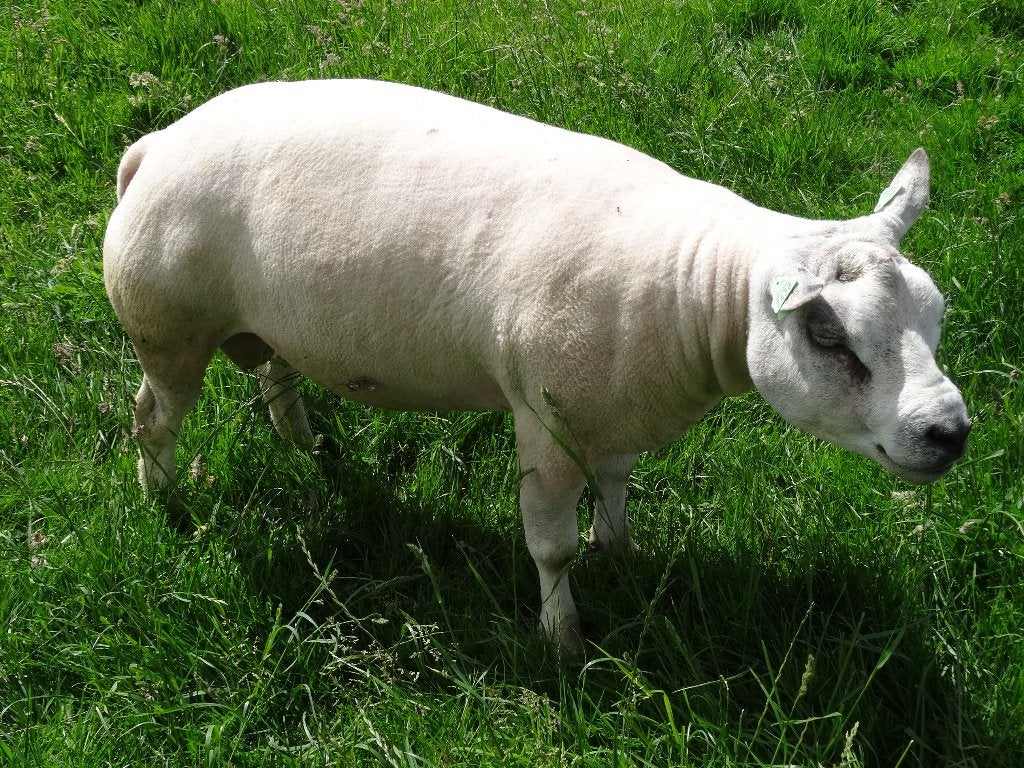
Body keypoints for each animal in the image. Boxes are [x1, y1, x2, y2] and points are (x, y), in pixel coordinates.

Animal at [103, 79, 970, 651]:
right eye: (827, 334)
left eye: (936, 314)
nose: (949, 433)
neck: (695, 292)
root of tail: (153, 148)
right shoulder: (546, 420)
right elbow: (550, 547)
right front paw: (563, 638)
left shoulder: (617, 405)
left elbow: (617, 489)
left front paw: (620, 554)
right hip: (167, 327)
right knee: (153, 419)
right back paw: (164, 500)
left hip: (268, 321)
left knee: (274, 375)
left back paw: (305, 445)